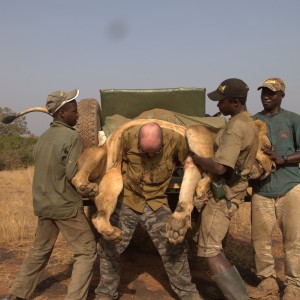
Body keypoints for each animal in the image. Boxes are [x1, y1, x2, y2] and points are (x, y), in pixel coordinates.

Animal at [1, 106, 276, 245]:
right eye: (267, 148)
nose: (273, 166)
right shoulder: (196, 139)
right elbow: (197, 181)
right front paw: (185, 214)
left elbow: (196, 187)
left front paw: (196, 200)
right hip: (99, 154)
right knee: (79, 179)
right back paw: (87, 189)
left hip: (113, 177)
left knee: (99, 214)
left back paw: (110, 231)